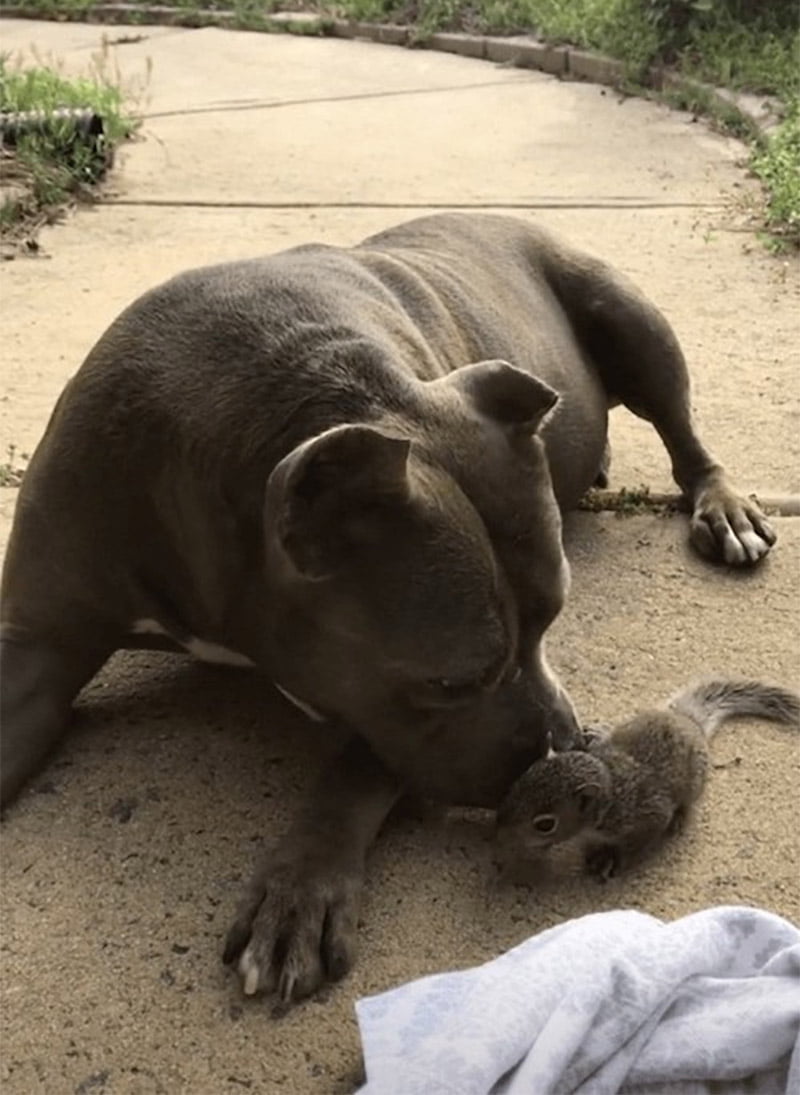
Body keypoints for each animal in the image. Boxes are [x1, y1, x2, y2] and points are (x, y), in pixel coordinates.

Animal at [495, 678, 800, 881]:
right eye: (522, 779)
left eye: (545, 824)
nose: (500, 831)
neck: (610, 792)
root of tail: (685, 719)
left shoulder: (647, 816)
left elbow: (638, 842)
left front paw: (610, 858)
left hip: (695, 780)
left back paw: (680, 817)